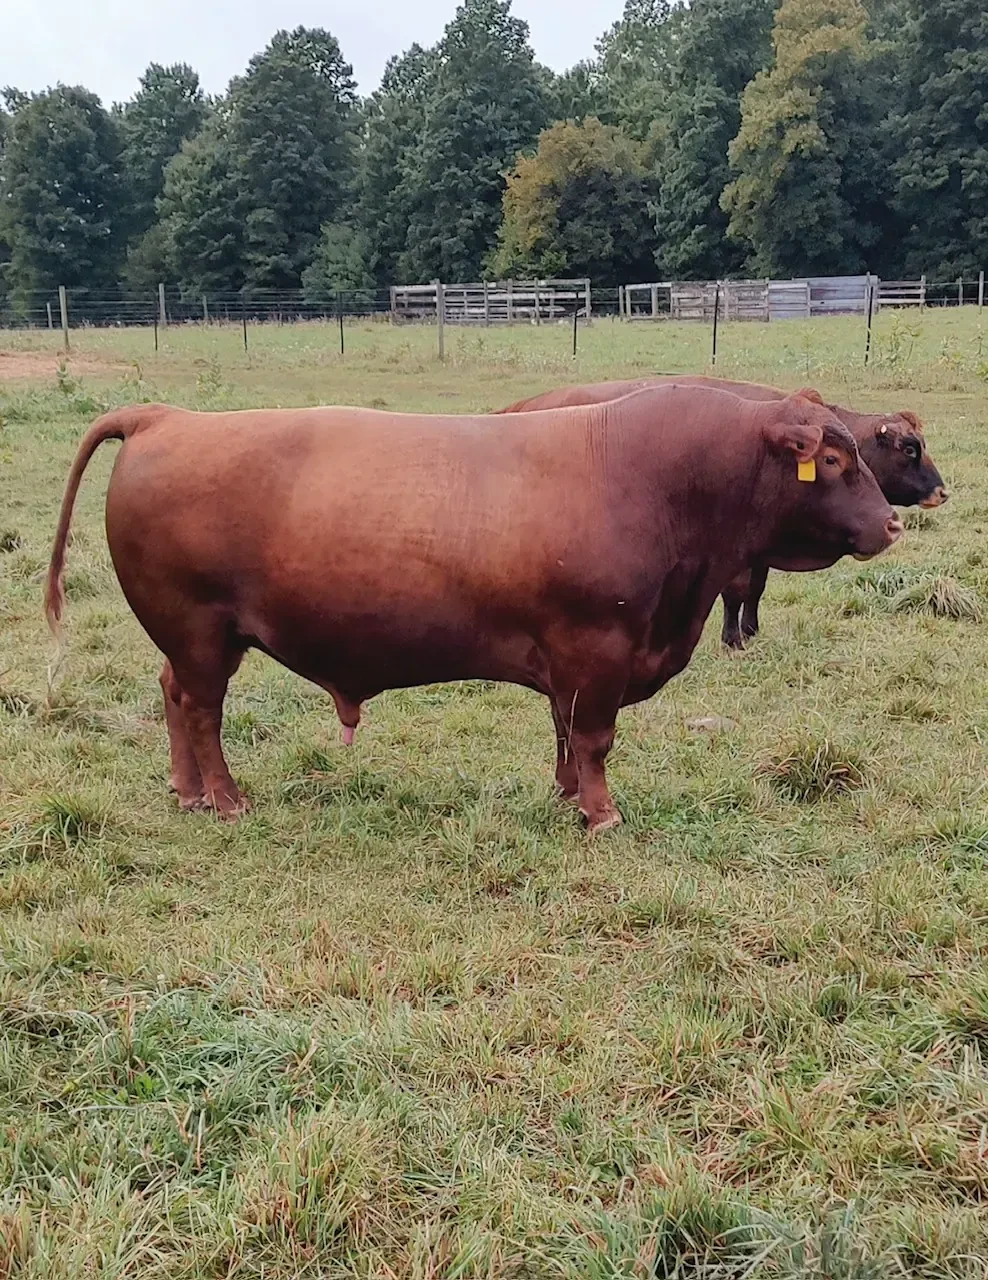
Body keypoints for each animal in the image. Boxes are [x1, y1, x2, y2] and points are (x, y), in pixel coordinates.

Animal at [45, 387, 901, 833]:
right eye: (833, 459)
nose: (893, 523)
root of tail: (167, 417)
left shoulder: (568, 659)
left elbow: (563, 731)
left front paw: (565, 796)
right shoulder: (598, 647)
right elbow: (595, 738)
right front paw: (601, 814)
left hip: (191, 638)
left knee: (172, 696)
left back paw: (185, 791)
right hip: (200, 630)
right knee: (201, 710)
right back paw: (225, 799)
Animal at [499, 376, 946, 648]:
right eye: (910, 448)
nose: (942, 492)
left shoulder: (759, 552)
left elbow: (755, 591)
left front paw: (751, 629)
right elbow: (735, 592)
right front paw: (733, 637)